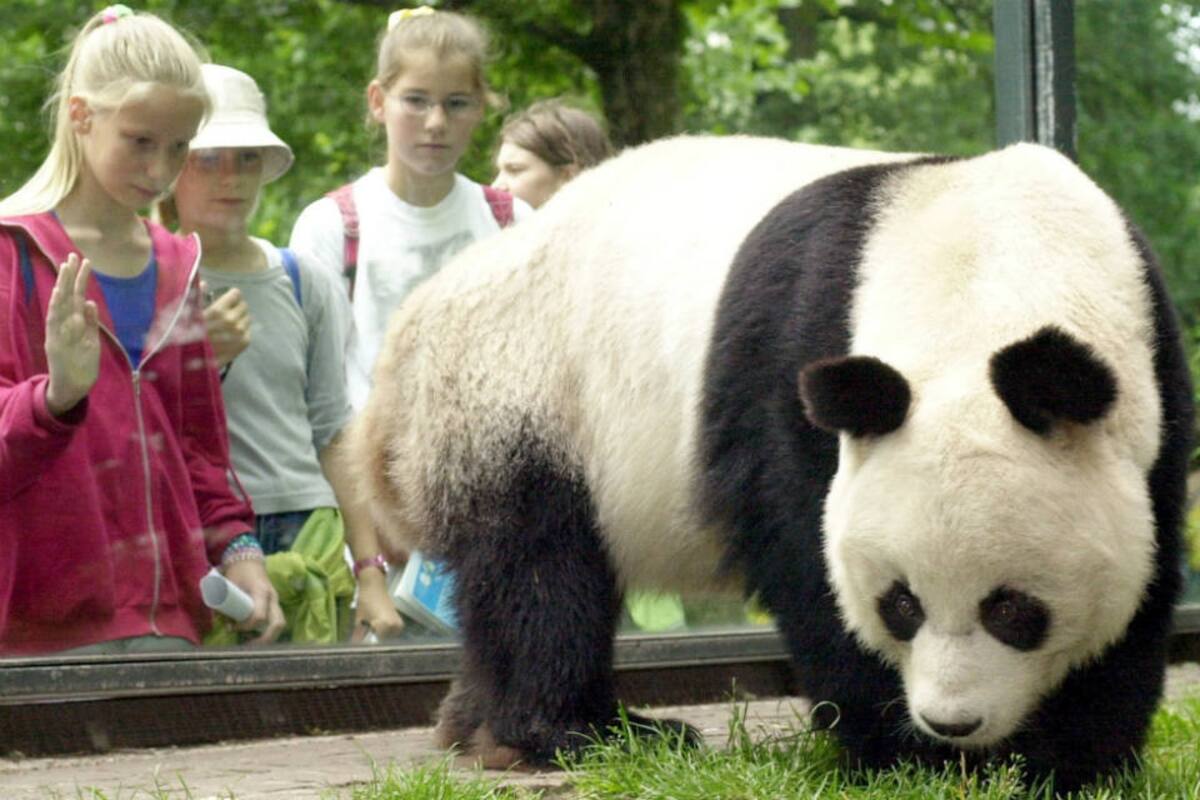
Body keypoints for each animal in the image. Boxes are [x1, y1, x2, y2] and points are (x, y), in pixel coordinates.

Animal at [345, 135, 1192, 790]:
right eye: (901, 605)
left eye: (1013, 609)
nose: (952, 722)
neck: (990, 263)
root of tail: (404, 344)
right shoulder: (797, 361)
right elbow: (804, 548)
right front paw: (903, 754)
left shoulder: (1154, 377)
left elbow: (1143, 573)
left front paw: (1074, 756)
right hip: (524, 396)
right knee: (543, 575)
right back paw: (581, 733)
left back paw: (474, 726)